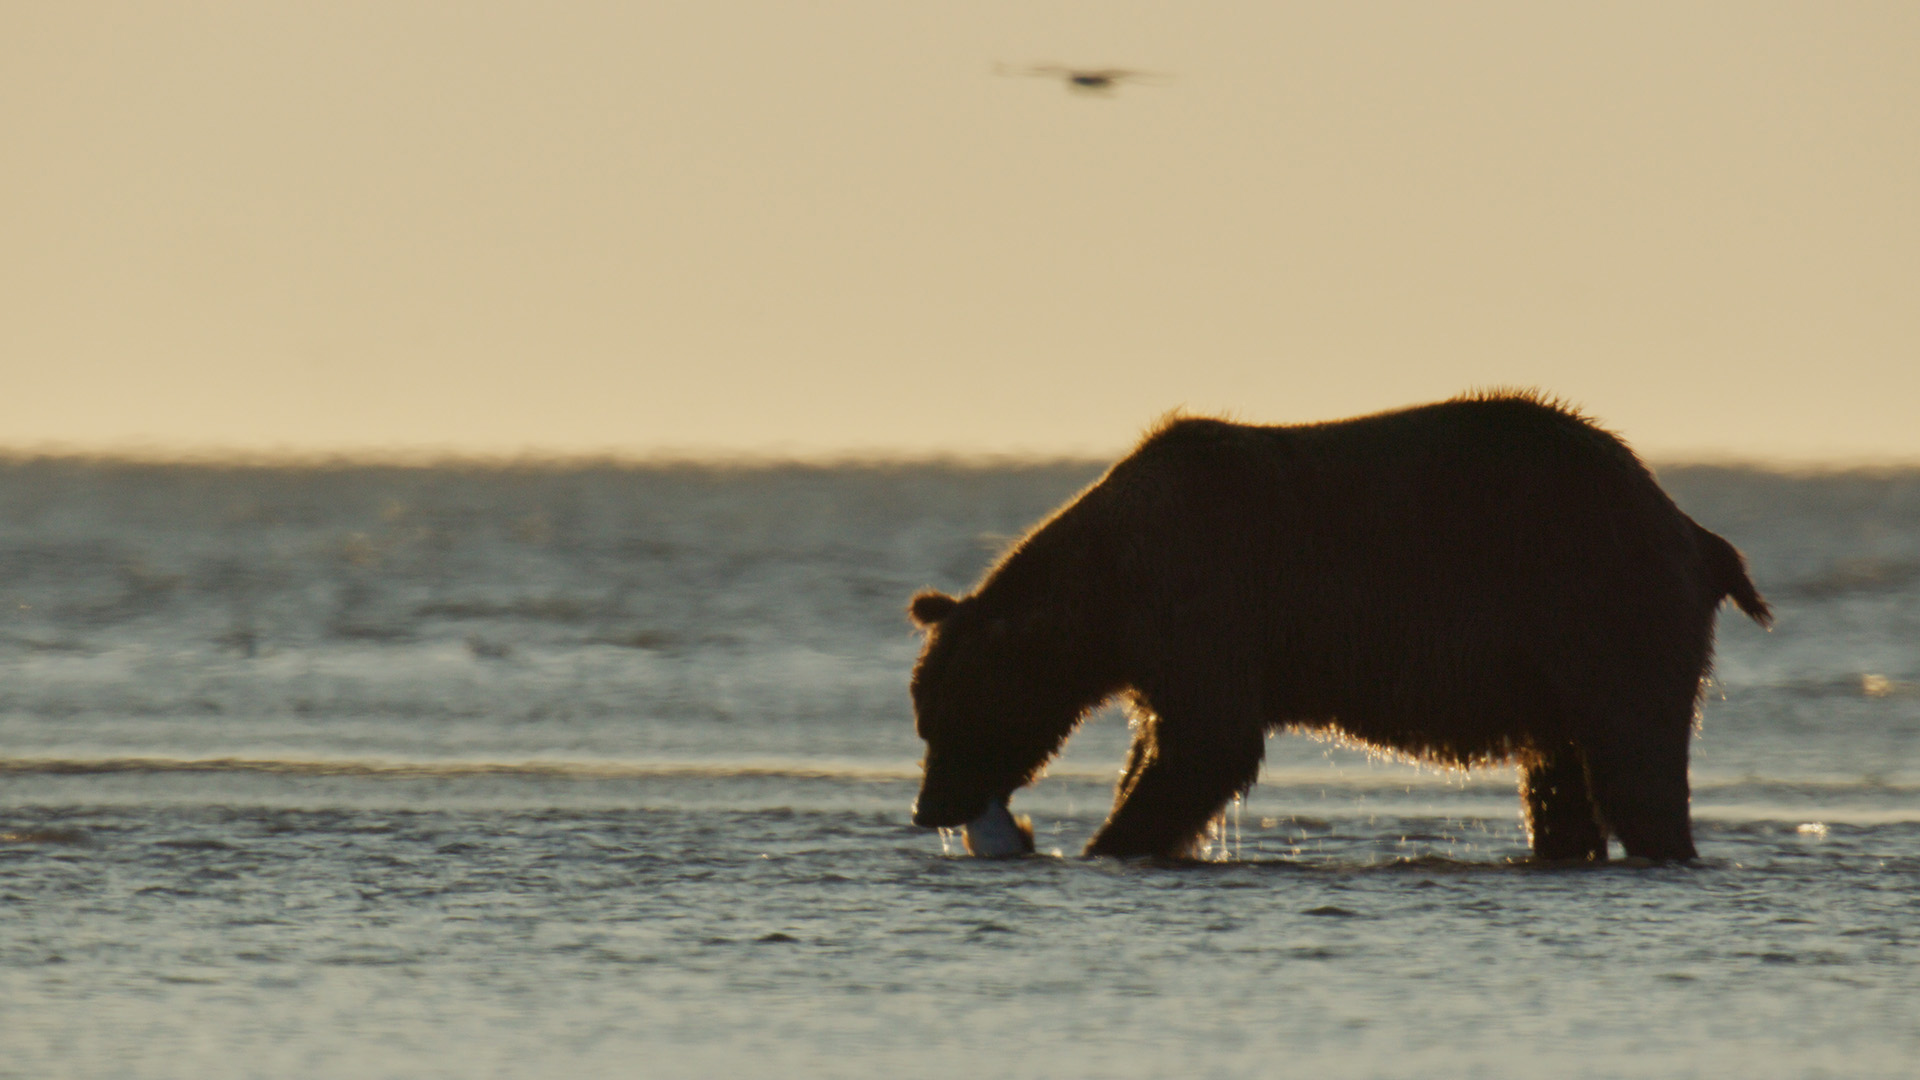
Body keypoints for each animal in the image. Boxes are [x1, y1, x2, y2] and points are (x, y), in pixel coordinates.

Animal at [906, 391, 1771, 862]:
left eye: (944, 715)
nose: (930, 808)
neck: (1105, 582)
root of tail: (1691, 528)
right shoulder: (1160, 644)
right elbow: (1168, 741)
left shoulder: (1203, 594)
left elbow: (1207, 746)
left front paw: (1109, 839)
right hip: (1555, 663)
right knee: (1560, 777)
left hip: (1598, 602)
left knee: (1635, 759)